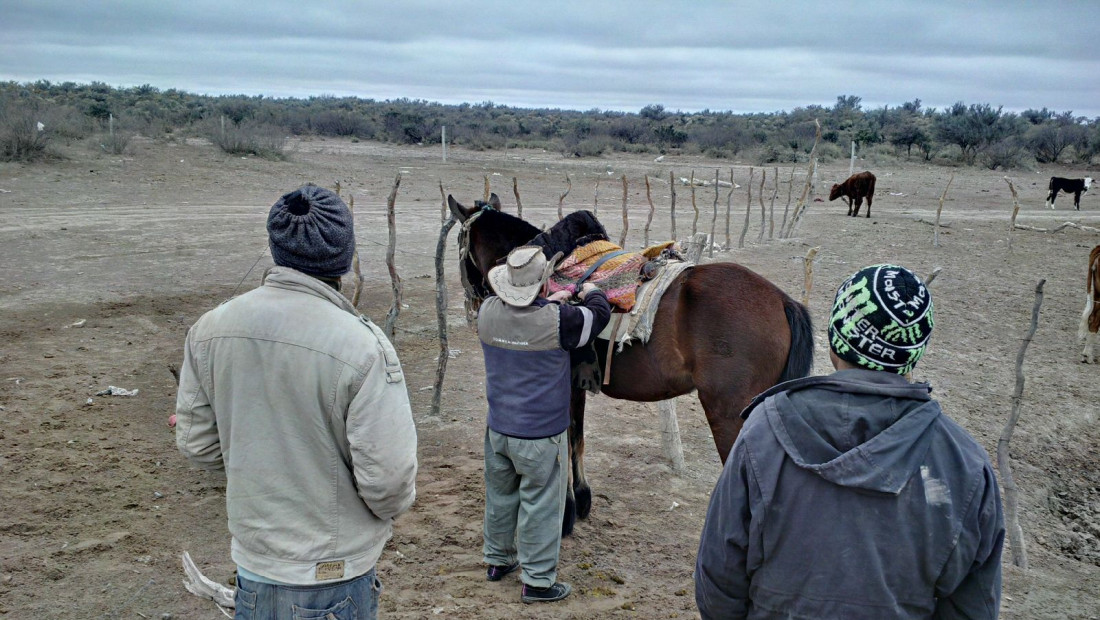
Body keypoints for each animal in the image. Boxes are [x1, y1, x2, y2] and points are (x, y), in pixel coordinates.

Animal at [448, 193, 818, 532]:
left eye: (458, 241)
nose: (473, 299)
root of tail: (783, 301)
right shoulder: (575, 384)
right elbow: (577, 437)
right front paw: (581, 500)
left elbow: (564, 440)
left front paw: (565, 512)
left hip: (729, 415)